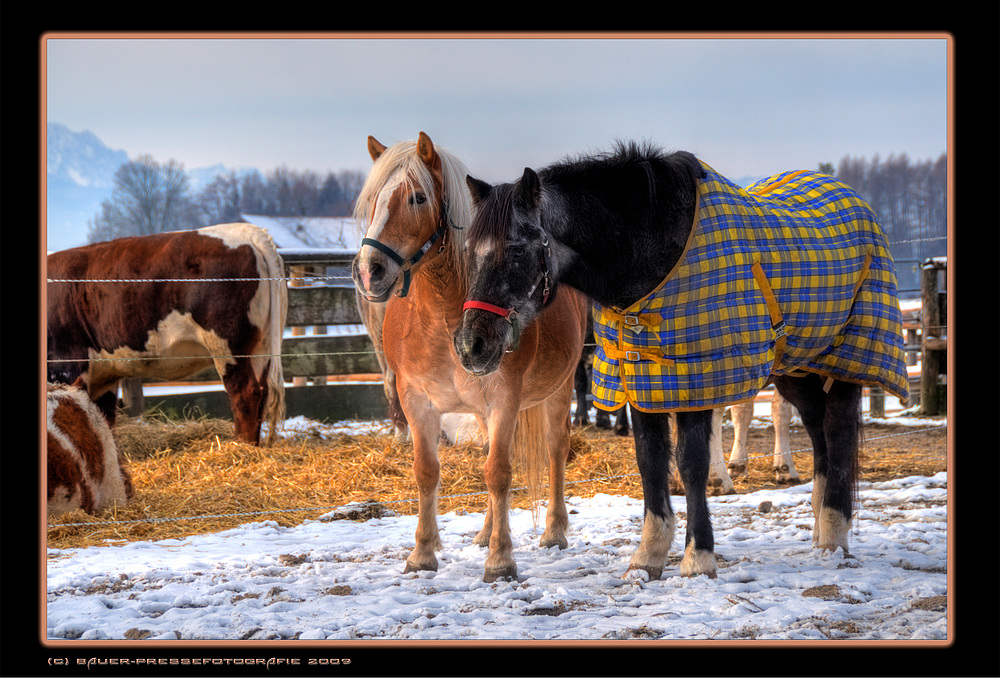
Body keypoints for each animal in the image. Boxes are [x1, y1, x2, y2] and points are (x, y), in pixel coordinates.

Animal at [47, 223, 290, 446]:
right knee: (261, 392)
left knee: (245, 393)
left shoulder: (65, 364)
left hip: (228, 345)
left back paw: (242, 446)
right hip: (261, 348)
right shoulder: (103, 377)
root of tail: (250, 232)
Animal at [350, 134, 584, 584]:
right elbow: (428, 472)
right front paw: (422, 554)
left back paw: (553, 532)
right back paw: (484, 532)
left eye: (417, 198)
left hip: (558, 389)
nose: (370, 270)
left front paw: (501, 560)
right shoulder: (416, 400)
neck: (444, 316)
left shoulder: (504, 400)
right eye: (372, 200)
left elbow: (500, 473)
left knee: (554, 449)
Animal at [458, 142, 912, 580]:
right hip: (798, 367)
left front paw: (699, 556)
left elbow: (691, 463)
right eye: (468, 252)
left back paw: (834, 533)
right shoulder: (641, 378)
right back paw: (820, 526)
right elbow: (650, 461)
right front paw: (649, 555)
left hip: (847, 360)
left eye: (518, 251)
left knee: (837, 431)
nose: (470, 345)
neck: (652, 250)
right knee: (818, 432)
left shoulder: (696, 376)